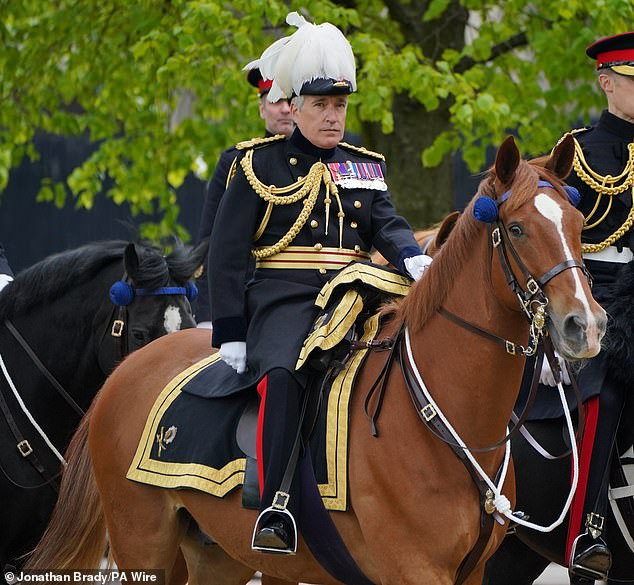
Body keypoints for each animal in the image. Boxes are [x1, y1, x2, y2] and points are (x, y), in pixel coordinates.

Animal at [27, 133, 604, 584]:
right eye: (518, 228)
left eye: (579, 224)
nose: (587, 325)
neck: (444, 417)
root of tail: (123, 374)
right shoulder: (412, 570)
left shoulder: (475, 571)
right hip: (142, 542)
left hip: (218, 555)